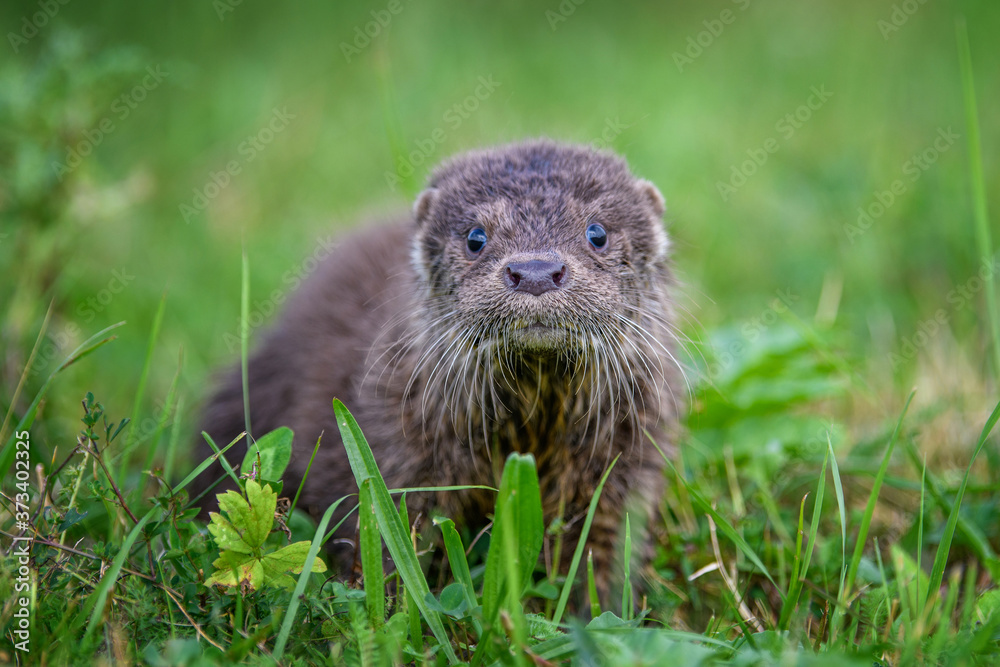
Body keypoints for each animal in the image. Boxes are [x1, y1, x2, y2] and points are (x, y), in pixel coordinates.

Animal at [192, 140, 684, 596]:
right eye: (475, 237)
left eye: (597, 233)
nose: (536, 270)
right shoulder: (395, 458)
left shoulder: (624, 471)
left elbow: (604, 560)